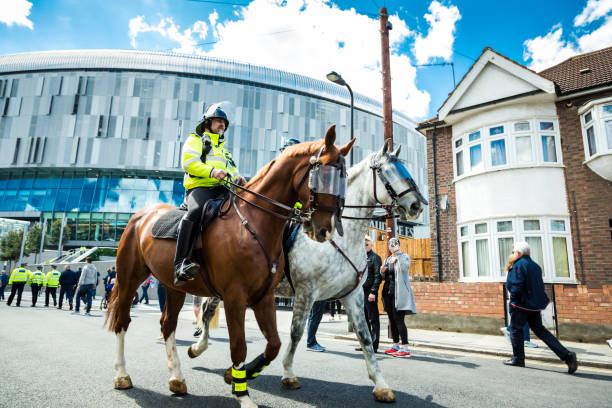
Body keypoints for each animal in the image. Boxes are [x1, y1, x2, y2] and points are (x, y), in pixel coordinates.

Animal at [105, 125, 354, 408]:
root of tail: (140, 216)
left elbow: (274, 345)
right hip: (129, 279)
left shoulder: (263, 296)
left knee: (167, 324)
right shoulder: (235, 296)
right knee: (122, 321)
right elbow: (239, 345)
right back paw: (122, 375)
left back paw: (177, 378)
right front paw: (242, 393)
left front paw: (236, 376)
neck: (254, 222)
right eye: (324, 174)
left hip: (174, 287)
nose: (325, 229)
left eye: (344, 176)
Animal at [190, 140, 426, 402]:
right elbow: (296, 332)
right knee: (207, 309)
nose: (416, 205)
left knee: (208, 308)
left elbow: (364, 336)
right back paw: (199, 347)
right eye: (387, 172)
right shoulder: (306, 292)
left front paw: (381, 385)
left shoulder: (352, 295)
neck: (341, 239)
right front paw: (287, 373)